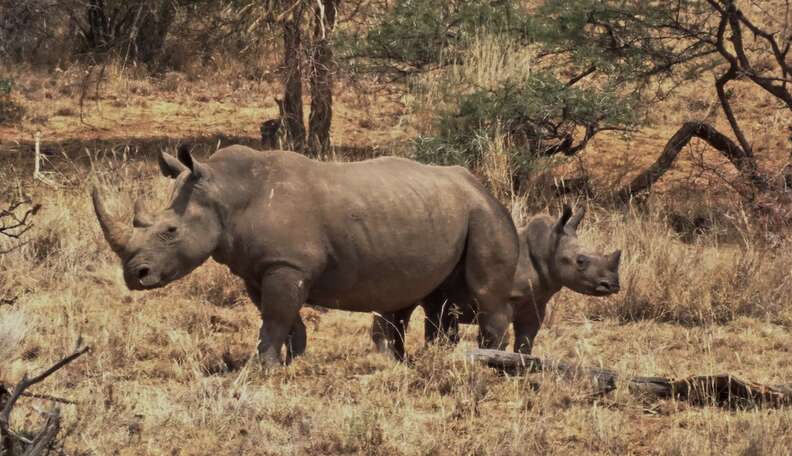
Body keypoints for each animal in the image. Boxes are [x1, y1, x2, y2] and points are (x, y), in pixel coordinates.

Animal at [93, 146, 520, 366]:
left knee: (486, 294)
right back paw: (428, 360)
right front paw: (293, 359)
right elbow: (282, 316)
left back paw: (489, 362)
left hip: (485, 212)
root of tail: (479, 183)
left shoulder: (287, 263)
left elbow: (275, 316)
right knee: (433, 299)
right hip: (442, 211)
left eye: (170, 231)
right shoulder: (261, 267)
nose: (135, 275)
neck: (226, 193)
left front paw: (259, 369)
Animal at [372, 205, 620, 354]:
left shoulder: (535, 302)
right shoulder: (501, 300)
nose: (612, 285)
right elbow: (497, 337)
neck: (547, 249)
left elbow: (526, 339)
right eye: (581, 261)